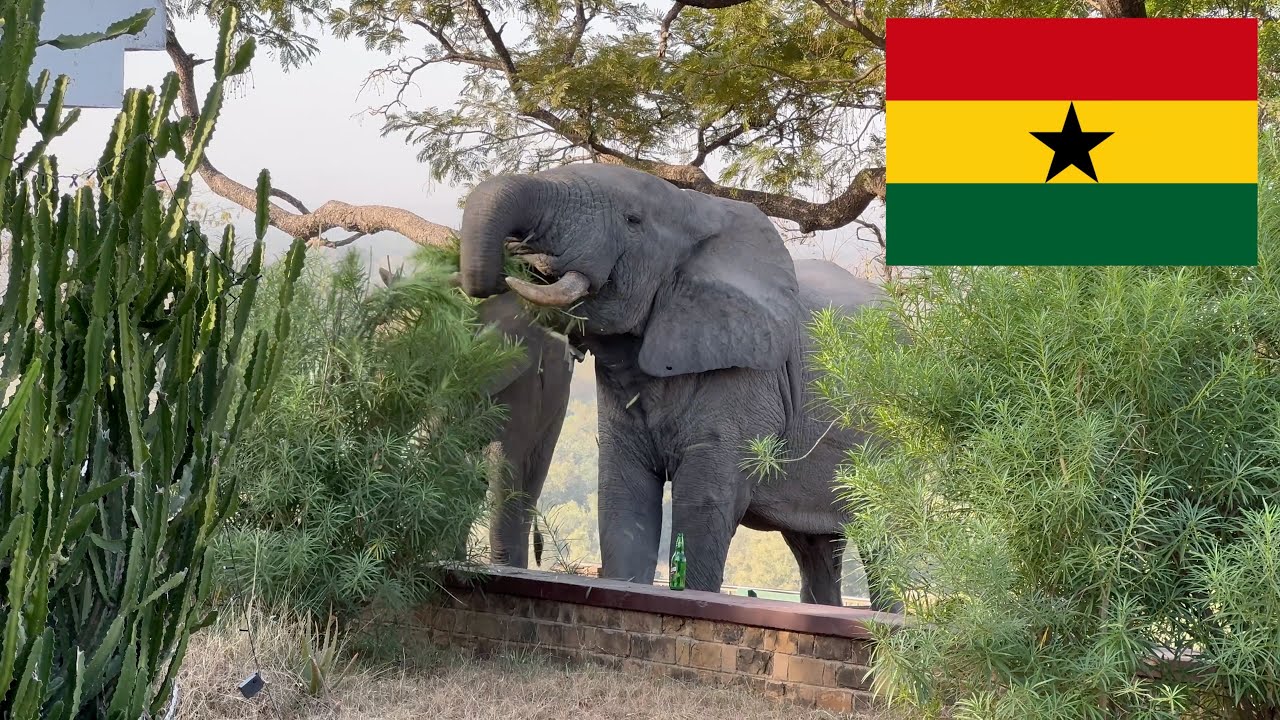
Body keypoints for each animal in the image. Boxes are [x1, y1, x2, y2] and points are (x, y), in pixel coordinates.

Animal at [456, 163, 901, 611]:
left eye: (632, 220)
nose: (517, 254)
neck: (696, 210)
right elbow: (623, 494)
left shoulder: (748, 378)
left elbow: (705, 501)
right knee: (814, 546)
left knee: (882, 538)